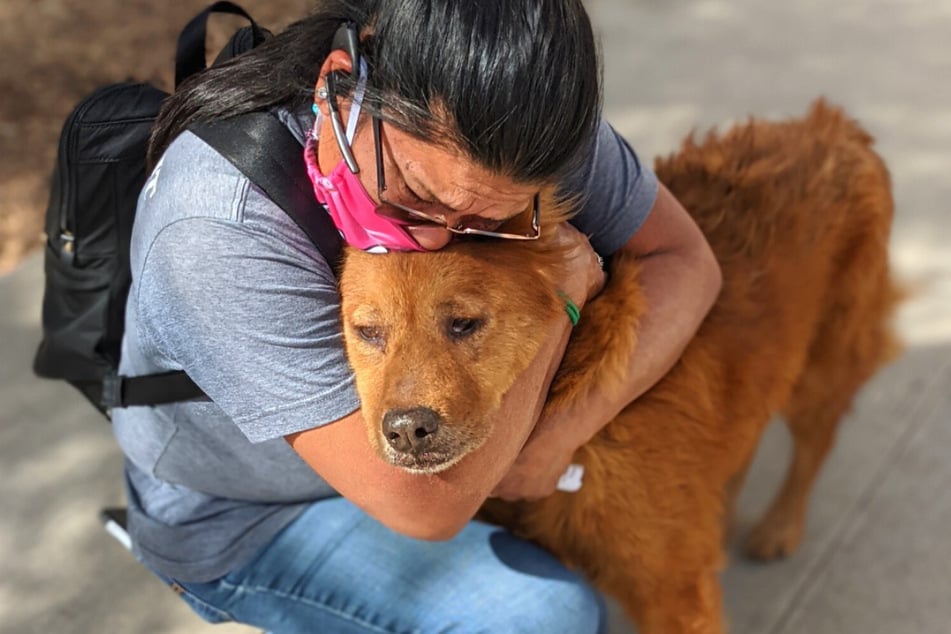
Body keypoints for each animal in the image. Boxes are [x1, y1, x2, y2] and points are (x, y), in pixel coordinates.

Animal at [338, 101, 904, 628]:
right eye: (368, 332)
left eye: (463, 323)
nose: (407, 430)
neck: (570, 385)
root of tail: (832, 125)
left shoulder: (675, 593)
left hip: (822, 371)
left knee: (814, 445)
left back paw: (780, 526)